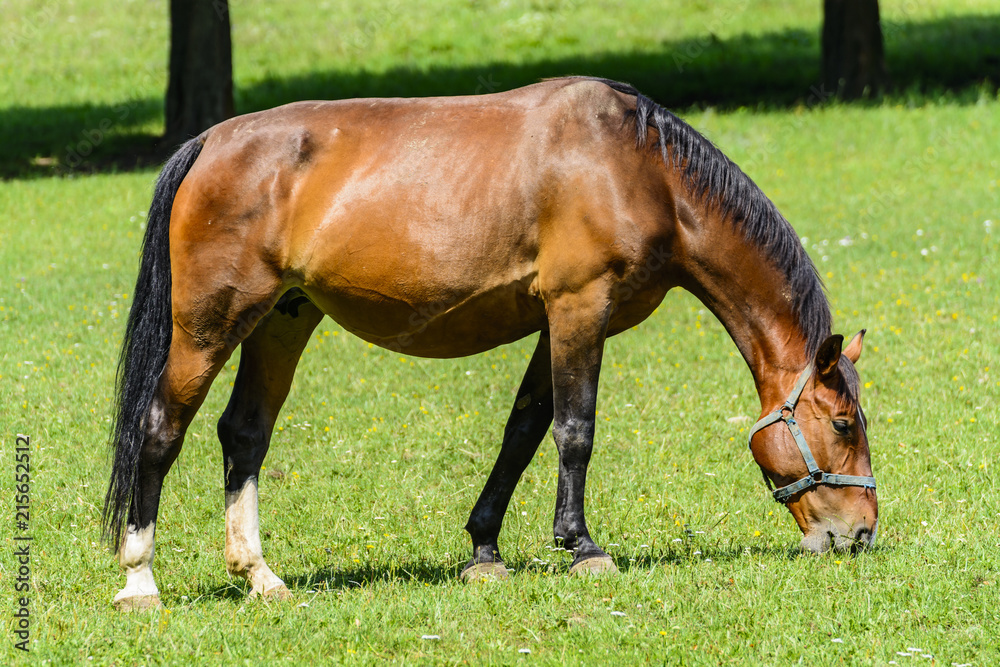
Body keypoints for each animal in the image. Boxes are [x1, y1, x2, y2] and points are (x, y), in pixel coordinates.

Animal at [103, 77, 877, 611]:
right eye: (843, 424)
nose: (861, 534)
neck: (639, 167)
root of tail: (209, 142)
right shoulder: (579, 308)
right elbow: (573, 430)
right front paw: (582, 546)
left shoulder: (554, 322)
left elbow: (523, 430)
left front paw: (483, 549)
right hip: (208, 324)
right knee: (160, 429)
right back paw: (140, 580)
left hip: (282, 319)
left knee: (244, 434)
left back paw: (259, 575)